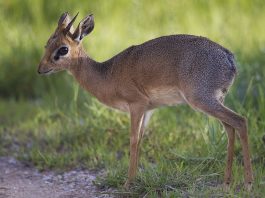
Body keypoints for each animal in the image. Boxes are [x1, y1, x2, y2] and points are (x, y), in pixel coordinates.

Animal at [38, 12, 253, 190]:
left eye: (63, 49)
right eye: (47, 43)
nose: (41, 69)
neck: (107, 74)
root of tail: (229, 58)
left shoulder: (136, 106)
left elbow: (133, 140)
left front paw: (128, 183)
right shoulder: (148, 110)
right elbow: (141, 140)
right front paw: (135, 180)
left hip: (202, 100)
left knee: (240, 121)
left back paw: (248, 184)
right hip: (215, 100)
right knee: (230, 128)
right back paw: (226, 182)